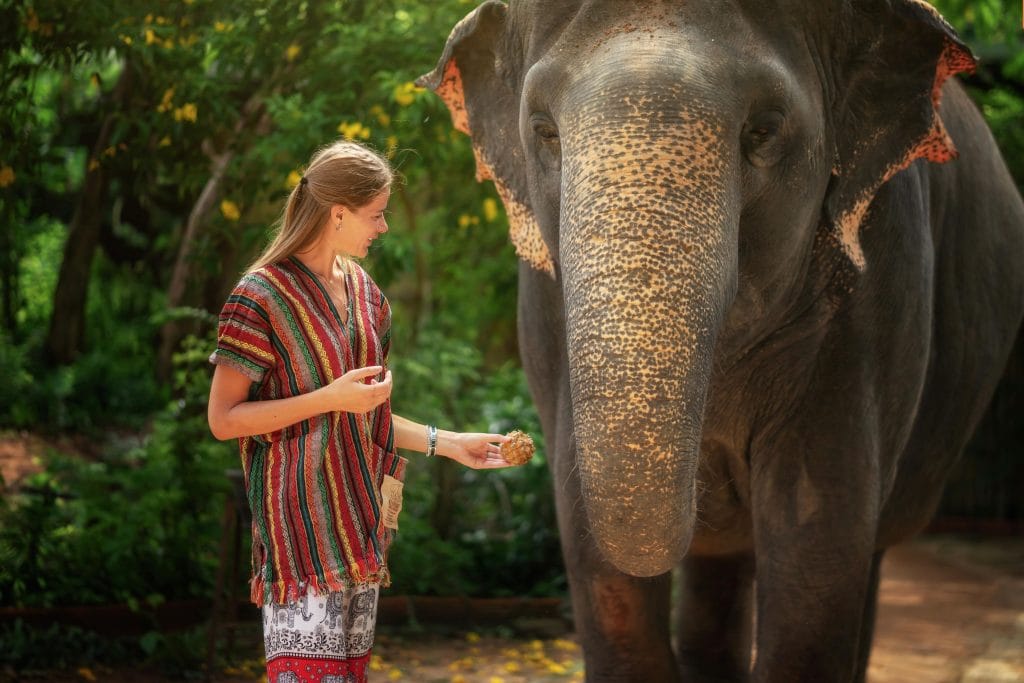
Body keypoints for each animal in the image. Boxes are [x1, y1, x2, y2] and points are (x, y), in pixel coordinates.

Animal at [419, 1, 1024, 681]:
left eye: (763, 130)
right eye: (544, 130)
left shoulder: (880, 278)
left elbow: (818, 534)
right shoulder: (545, 307)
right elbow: (592, 553)